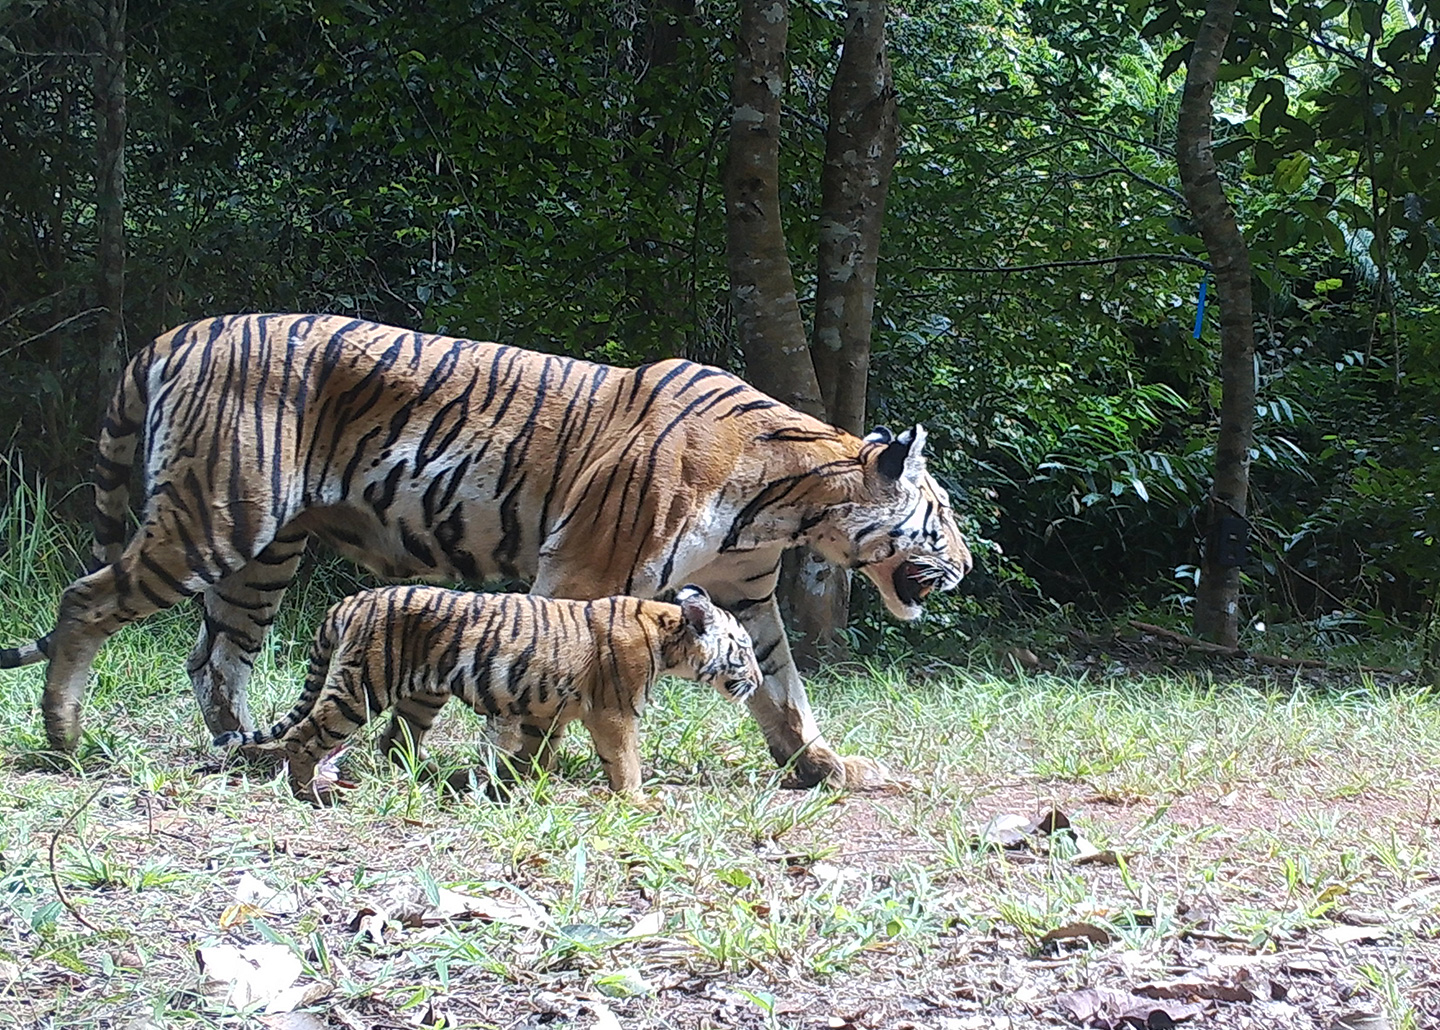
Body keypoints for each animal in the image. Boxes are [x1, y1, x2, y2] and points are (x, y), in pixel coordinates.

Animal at [214, 584, 759, 804]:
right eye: (745, 650)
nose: (756, 679)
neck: (670, 640)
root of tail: (352, 599)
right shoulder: (615, 712)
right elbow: (626, 762)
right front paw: (640, 800)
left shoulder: (549, 712)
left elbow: (536, 755)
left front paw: (521, 786)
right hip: (361, 687)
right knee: (304, 737)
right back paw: (309, 793)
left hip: (421, 697)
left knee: (395, 742)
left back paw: (430, 775)